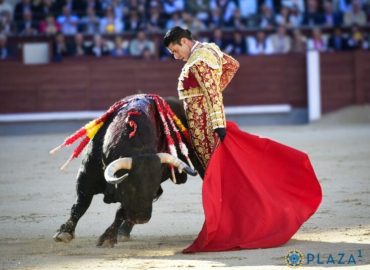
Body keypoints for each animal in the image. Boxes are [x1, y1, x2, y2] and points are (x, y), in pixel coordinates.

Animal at [52, 94, 204, 247]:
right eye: (130, 187)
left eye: (153, 188)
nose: (141, 218)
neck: (138, 148)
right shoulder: (86, 177)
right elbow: (80, 204)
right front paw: (64, 232)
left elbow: (120, 211)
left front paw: (108, 238)